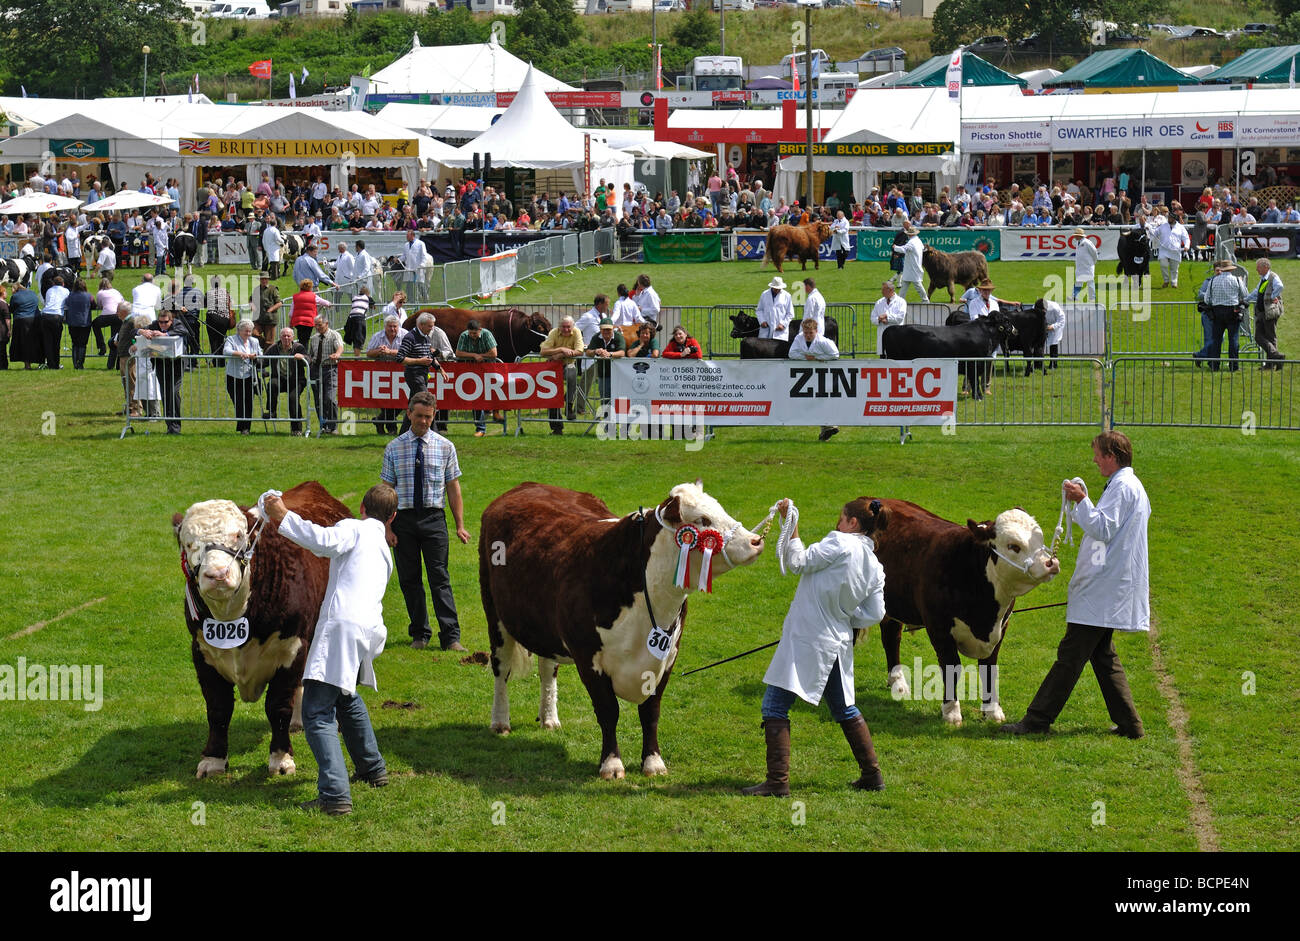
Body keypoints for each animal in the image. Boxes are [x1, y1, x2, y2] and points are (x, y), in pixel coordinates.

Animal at [172, 480, 348, 774]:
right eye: (188, 543)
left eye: (239, 535)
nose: (217, 575)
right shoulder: (202, 651)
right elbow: (218, 708)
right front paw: (213, 759)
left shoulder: (293, 647)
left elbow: (278, 707)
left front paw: (281, 759)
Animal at [478, 480, 759, 785]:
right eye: (702, 520)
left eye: (720, 508)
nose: (755, 541)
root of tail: (528, 485)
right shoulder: (587, 657)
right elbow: (608, 711)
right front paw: (611, 764)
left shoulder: (667, 657)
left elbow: (650, 712)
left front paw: (653, 762)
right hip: (495, 614)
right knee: (501, 669)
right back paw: (500, 721)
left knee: (547, 670)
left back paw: (549, 718)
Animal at [857, 504, 1060, 722]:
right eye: (1013, 546)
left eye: (1039, 537)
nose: (1051, 563)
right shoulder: (938, 627)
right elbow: (951, 667)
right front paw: (951, 711)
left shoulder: (1001, 626)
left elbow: (989, 669)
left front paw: (993, 710)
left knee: (891, 637)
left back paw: (897, 682)